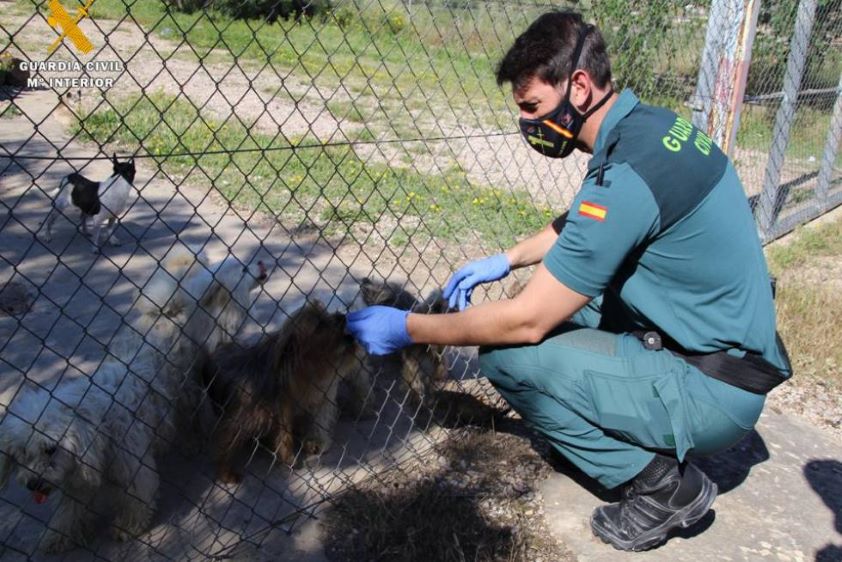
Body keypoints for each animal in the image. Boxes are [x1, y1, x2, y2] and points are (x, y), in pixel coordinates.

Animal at [0, 245, 266, 552]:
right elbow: (70, 510)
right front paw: (57, 537)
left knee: (189, 413)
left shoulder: (133, 468)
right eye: (22, 453)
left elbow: (136, 498)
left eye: (50, 449)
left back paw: (192, 441)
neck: (98, 423)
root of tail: (167, 311)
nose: (32, 485)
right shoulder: (76, 477)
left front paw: (126, 528)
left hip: (185, 386)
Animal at [200, 298, 370, 482]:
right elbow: (228, 440)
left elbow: (288, 431)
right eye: (319, 325)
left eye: (326, 313)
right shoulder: (246, 415)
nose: (342, 316)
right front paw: (225, 472)